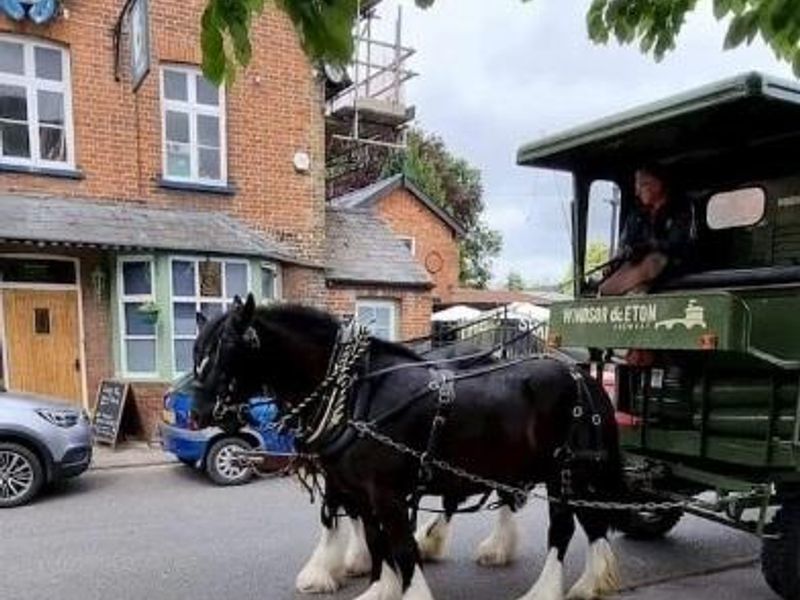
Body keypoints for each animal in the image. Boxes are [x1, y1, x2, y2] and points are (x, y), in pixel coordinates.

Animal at [192, 296, 624, 600]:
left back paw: (549, 589)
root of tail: (581, 374)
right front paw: (374, 584)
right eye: (198, 350)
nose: (195, 414)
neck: (356, 394)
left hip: (565, 473)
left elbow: (399, 547)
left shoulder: (386, 493)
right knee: (589, 522)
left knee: (564, 529)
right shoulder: (360, 490)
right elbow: (374, 539)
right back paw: (590, 581)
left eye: (229, 350)